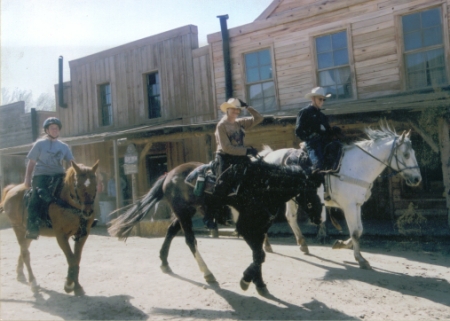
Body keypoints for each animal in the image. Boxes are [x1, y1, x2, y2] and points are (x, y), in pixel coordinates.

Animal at [0, 160, 99, 296]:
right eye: (77, 185)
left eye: (95, 184)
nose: (88, 211)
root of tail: (11, 189)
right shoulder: (61, 236)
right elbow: (71, 258)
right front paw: (69, 285)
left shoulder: (82, 234)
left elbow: (76, 258)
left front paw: (77, 286)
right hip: (18, 228)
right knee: (25, 253)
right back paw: (33, 282)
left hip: (28, 232)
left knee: (23, 250)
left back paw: (20, 274)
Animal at [109, 159, 320, 294]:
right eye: (308, 188)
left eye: (318, 186)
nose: (318, 216)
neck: (261, 187)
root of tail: (169, 174)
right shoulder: (245, 228)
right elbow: (259, 255)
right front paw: (246, 280)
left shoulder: (260, 229)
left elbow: (258, 255)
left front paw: (259, 283)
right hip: (184, 213)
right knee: (190, 241)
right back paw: (208, 273)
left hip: (186, 212)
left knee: (170, 231)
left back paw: (164, 262)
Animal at [262, 122, 420, 268]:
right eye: (406, 155)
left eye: (414, 153)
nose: (417, 179)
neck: (357, 167)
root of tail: (267, 157)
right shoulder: (349, 206)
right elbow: (355, 231)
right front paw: (360, 259)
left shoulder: (357, 204)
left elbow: (359, 230)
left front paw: (340, 244)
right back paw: (267, 245)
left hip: (290, 198)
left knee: (290, 217)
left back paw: (301, 244)